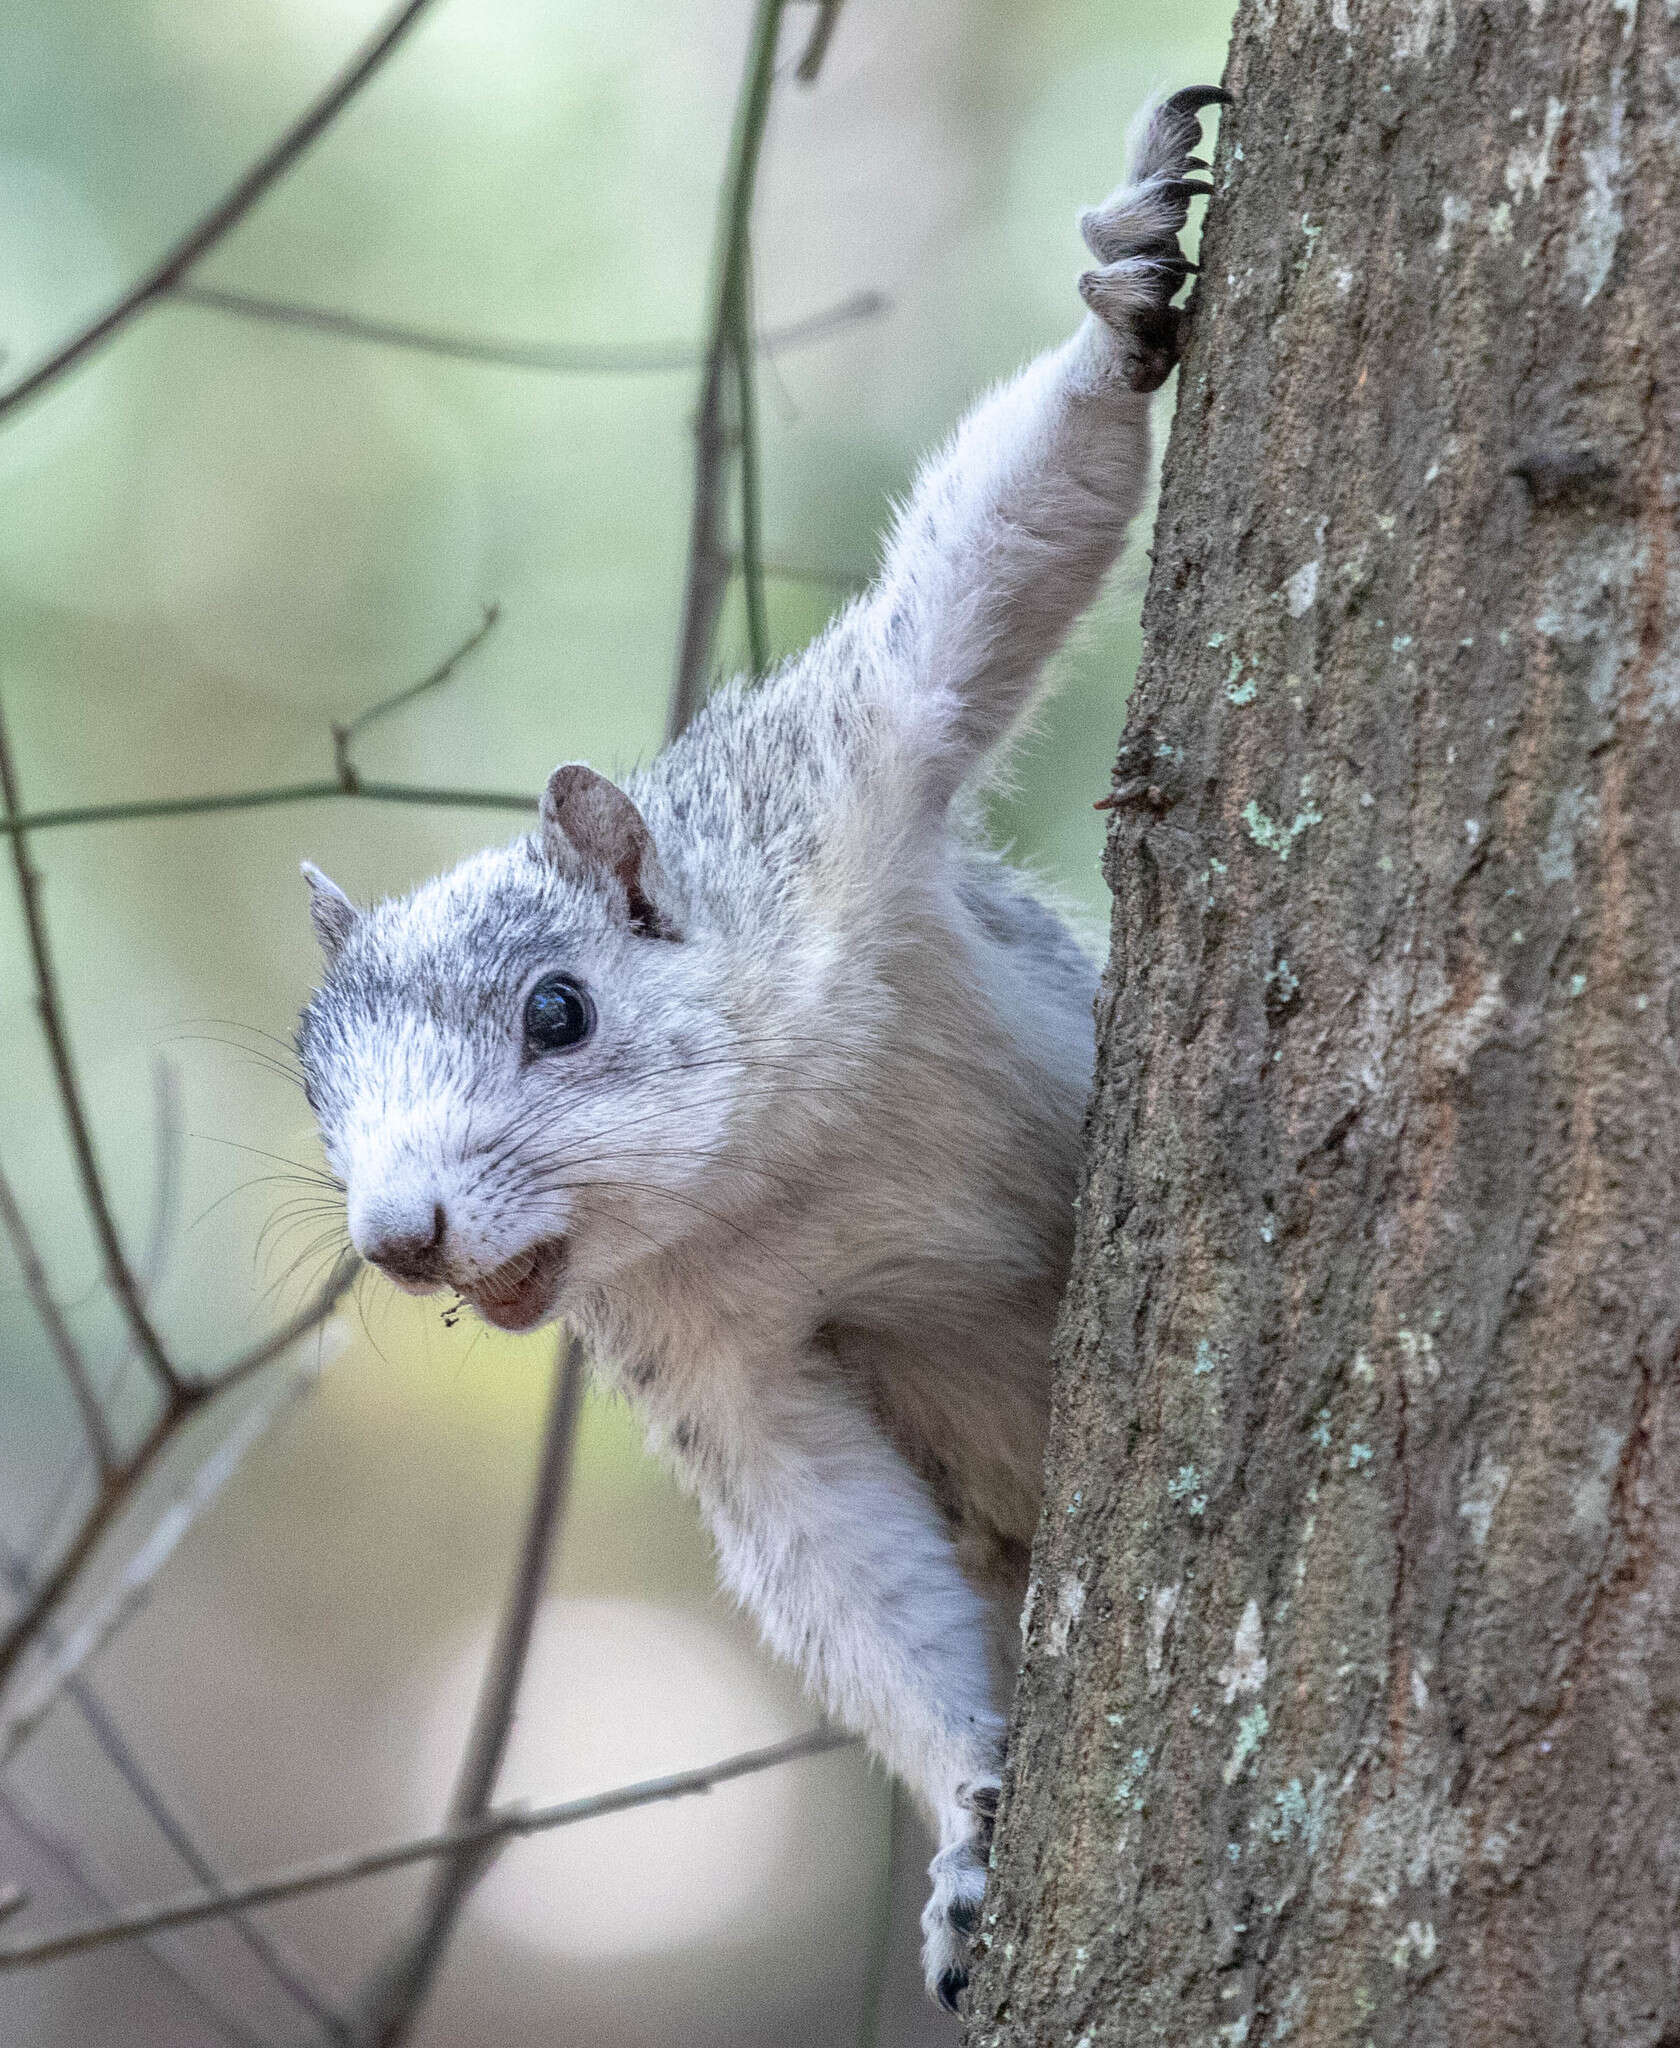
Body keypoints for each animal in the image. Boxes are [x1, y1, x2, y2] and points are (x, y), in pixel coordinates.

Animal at [295, 88, 1229, 2007]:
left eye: (557, 1009)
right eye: (317, 1098)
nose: (398, 1236)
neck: (768, 1163)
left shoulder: (836, 799)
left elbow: (974, 583)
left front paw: (1121, 286)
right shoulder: (711, 1362)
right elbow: (833, 1553)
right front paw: (970, 1826)